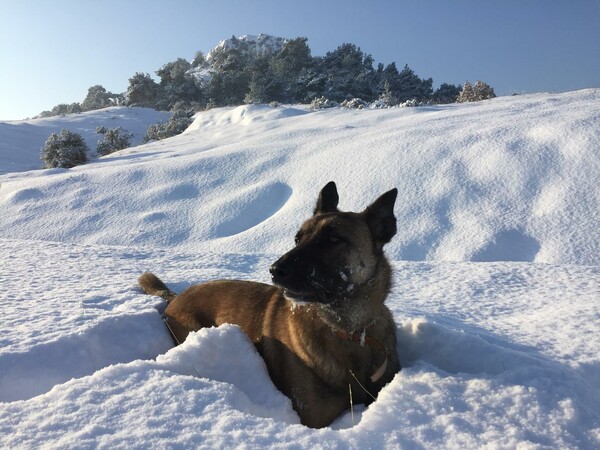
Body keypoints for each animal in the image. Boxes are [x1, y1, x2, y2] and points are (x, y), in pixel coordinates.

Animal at [139, 181, 400, 428]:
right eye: (297, 239)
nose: (275, 270)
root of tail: (176, 296)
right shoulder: (315, 417)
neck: (349, 331)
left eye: (333, 239)